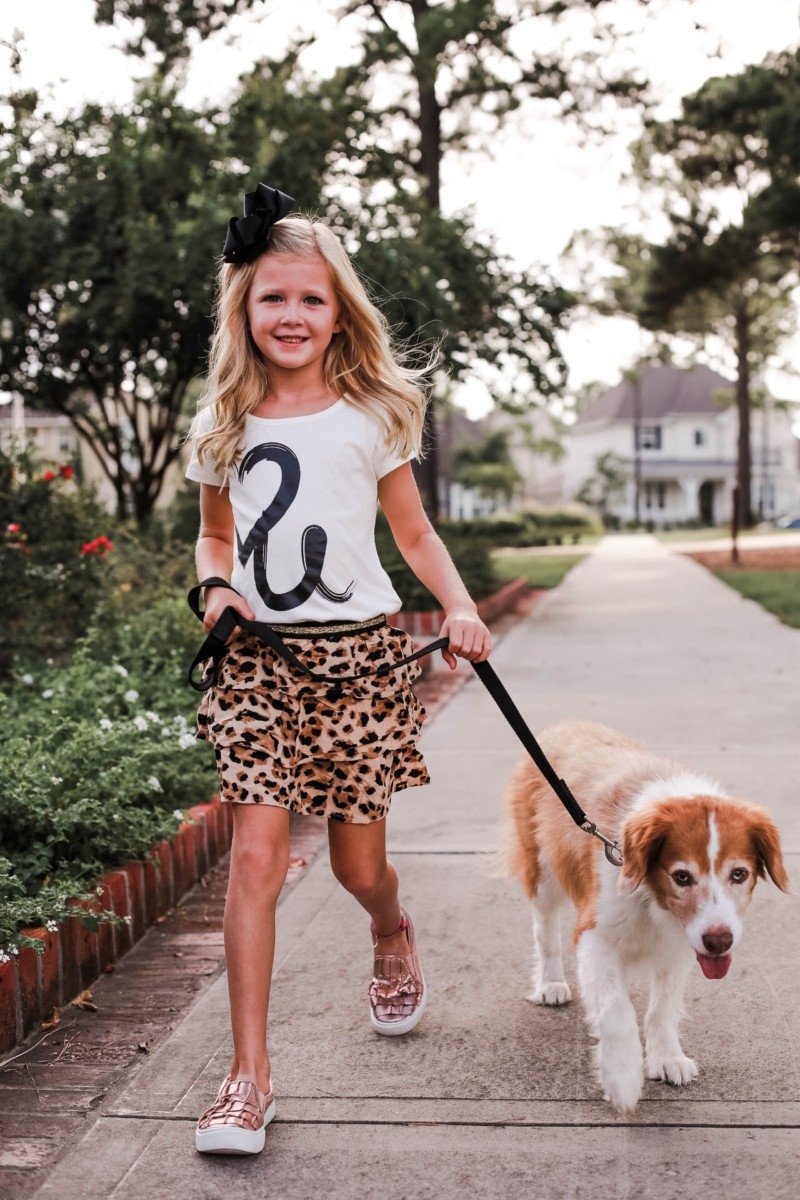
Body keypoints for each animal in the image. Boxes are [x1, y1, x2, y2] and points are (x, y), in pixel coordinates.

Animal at [506, 715, 786, 1108]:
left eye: (739, 874)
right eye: (681, 876)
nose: (719, 941)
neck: (653, 899)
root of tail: (570, 723)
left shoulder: (682, 943)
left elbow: (662, 1007)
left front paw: (666, 1057)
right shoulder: (594, 936)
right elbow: (615, 1007)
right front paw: (623, 1076)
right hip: (544, 869)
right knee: (544, 927)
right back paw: (550, 982)